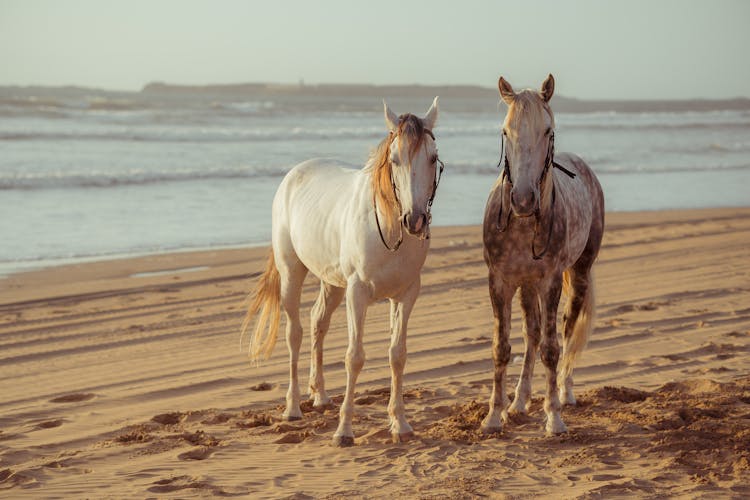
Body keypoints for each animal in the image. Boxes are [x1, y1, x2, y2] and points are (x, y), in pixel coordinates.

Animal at [242, 96, 440, 446]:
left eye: (432, 157)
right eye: (395, 159)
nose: (415, 220)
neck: (388, 225)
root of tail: (295, 173)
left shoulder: (406, 294)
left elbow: (398, 355)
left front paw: (400, 424)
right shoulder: (357, 293)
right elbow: (354, 357)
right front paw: (344, 431)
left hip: (333, 283)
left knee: (317, 321)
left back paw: (319, 396)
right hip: (292, 273)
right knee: (295, 332)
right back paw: (293, 407)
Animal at [482, 74, 604, 434]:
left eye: (547, 131)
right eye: (506, 131)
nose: (522, 199)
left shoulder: (549, 282)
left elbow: (552, 348)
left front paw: (554, 418)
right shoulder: (500, 282)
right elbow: (502, 347)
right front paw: (494, 415)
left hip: (578, 274)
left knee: (566, 331)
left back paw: (565, 392)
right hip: (526, 285)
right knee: (532, 334)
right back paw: (519, 401)